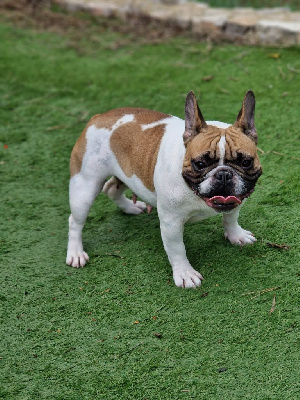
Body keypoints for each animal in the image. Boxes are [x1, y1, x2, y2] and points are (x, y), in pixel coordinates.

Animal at [66, 91, 262, 288]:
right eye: (200, 164)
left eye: (246, 162)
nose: (224, 174)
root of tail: (98, 117)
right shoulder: (171, 223)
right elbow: (177, 249)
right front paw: (185, 273)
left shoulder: (235, 203)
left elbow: (231, 218)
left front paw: (236, 235)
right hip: (85, 186)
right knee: (75, 221)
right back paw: (76, 252)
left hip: (126, 172)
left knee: (112, 189)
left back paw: (131, 207)